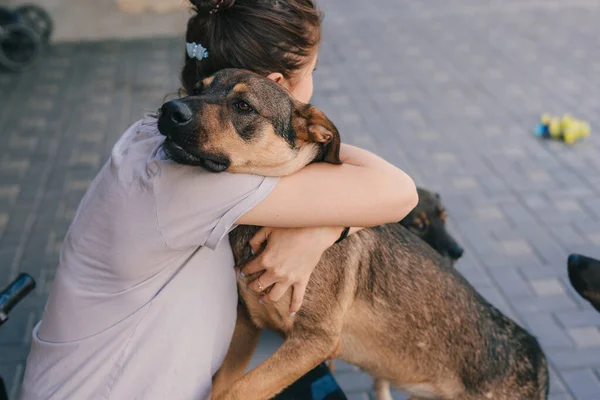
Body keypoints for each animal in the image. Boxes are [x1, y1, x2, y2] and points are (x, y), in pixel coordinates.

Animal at [156, 69, 548, 400]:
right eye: (198, 89)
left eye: (243, 106)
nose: (169, 110)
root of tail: (539, 359)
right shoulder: (246, 325)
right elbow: (221, 386)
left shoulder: (316, 341)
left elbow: (238, 390)